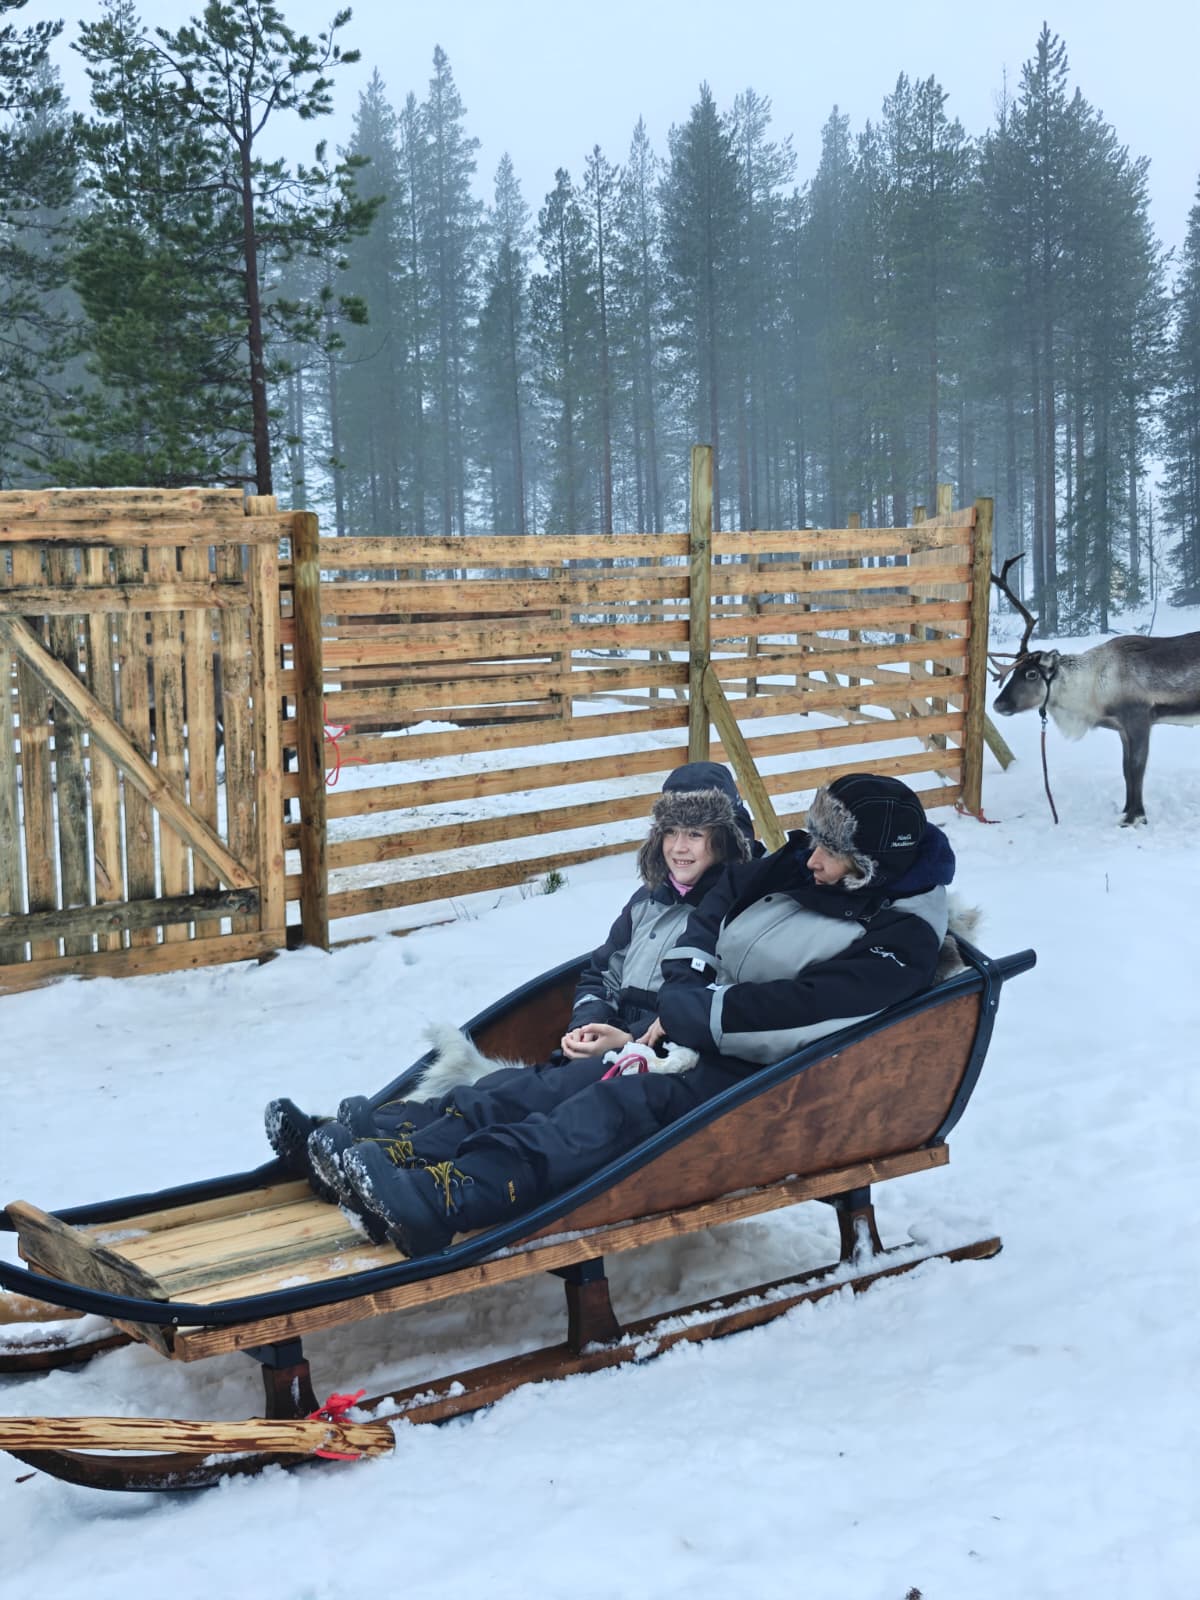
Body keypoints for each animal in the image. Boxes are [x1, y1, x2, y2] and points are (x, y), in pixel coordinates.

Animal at [989, 556, 1200, 826]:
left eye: (1031, 674)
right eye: (1014, 673)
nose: (998, 704)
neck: (1092, 690)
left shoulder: (1139, 718)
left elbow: (1136, 768)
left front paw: (1135, 817)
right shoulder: (1121, 727)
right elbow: (1125, 770)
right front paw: (1126, 809)